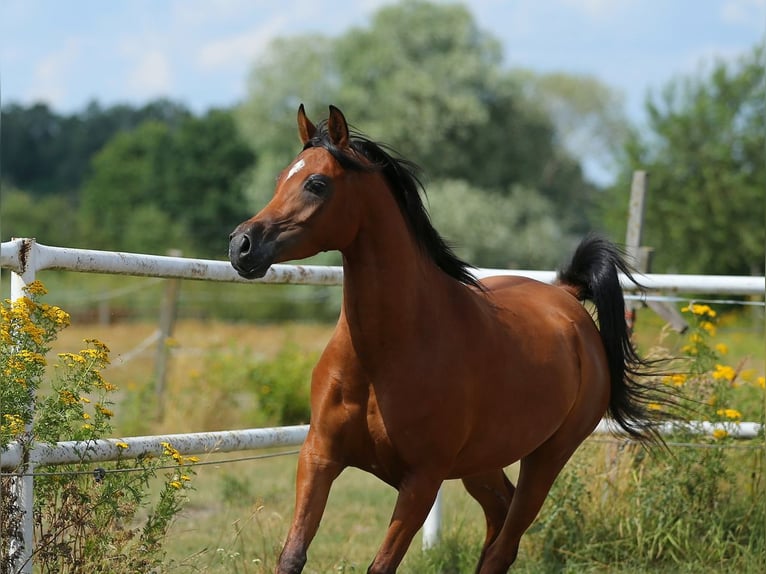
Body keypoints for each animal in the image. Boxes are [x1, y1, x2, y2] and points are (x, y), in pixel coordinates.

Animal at [230, 106, 664, 572]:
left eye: (316, 183)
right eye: (280, 178)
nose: (241, 244)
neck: (382, 357)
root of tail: (566, 298)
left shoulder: (422, 480)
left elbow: (381, 566)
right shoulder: (319, 457)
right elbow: (292, 556)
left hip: (548, 458)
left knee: (504, 544)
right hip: (482, 463)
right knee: (499, 517)